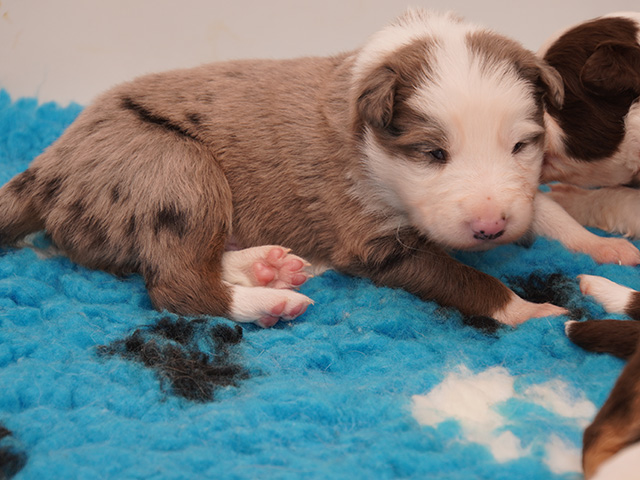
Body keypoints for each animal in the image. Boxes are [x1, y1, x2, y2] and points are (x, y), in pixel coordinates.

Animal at [0, 9, 567, 327]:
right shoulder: (373, 239)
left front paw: (584, 243)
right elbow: (464, 277)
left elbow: (549, 211)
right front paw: (532, 311)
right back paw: (266, 299)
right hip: (175, 168)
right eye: (432, 154)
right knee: (177, 282)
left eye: (521, 145)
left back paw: (265, 266)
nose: (491, 227)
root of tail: (47, 163)